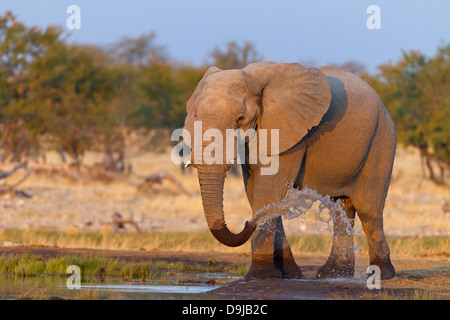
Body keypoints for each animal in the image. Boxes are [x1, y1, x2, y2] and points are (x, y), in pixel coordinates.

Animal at [181, 60, 396, 280]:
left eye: (240, 119)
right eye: (194, 115)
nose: (247, 222)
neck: (253, 78)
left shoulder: (289, 134)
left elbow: (267, 191)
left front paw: (261, 276)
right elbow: (255, 191)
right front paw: (288, 273)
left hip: (382, 140)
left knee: (368, 209)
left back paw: (381, 274)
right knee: (342, 206)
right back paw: (333, 274)